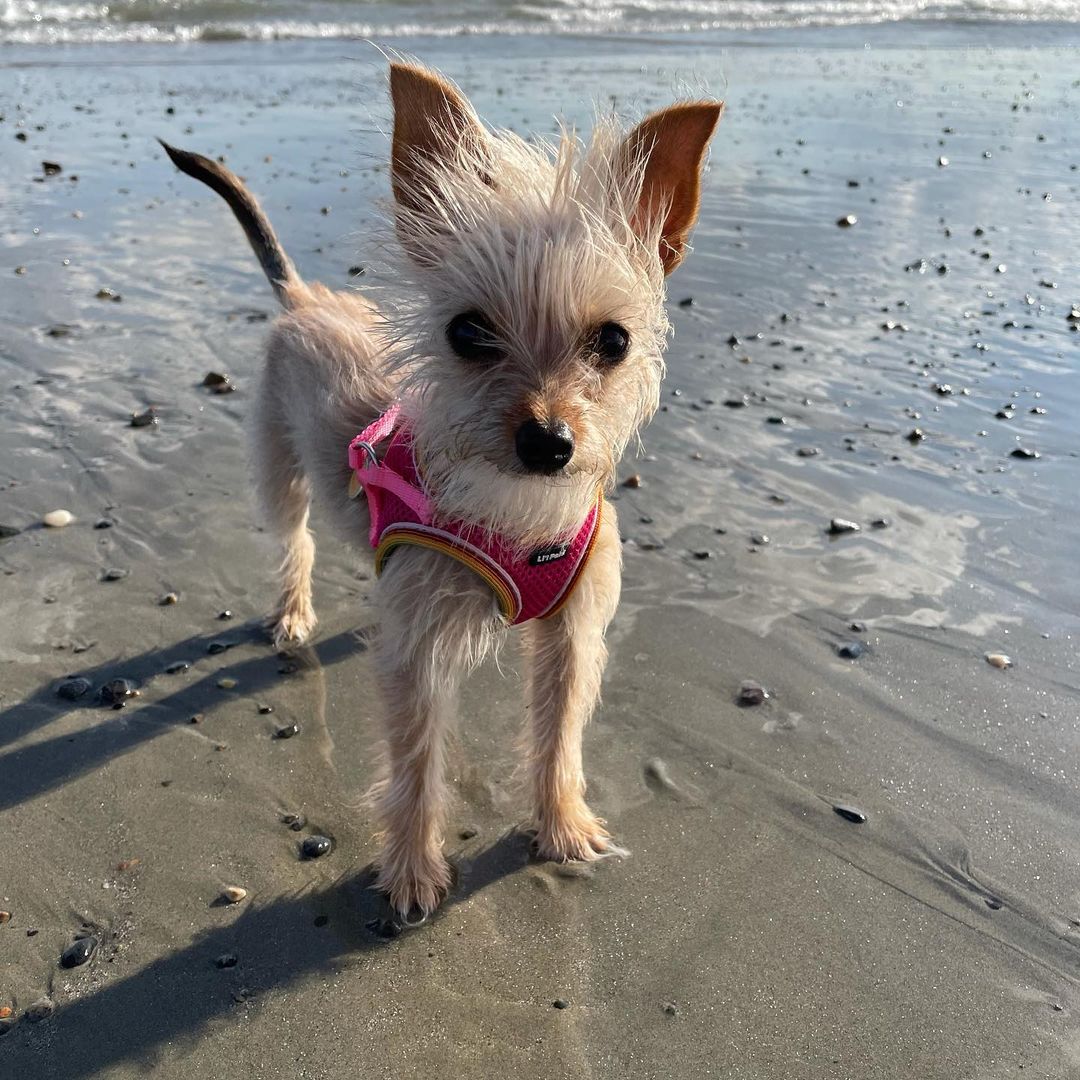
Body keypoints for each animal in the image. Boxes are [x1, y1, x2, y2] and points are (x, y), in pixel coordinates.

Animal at [162, 61, 725, 920]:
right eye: (467, 333)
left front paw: (560, 826)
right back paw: (293, 612)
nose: (548, 441)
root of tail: (306, 297)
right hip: (279, 470)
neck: (519, 517)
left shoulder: (570, 638)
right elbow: (416, 763)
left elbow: (558, 736)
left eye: (613, 340)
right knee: (294, 543)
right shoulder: (417, 655)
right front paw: (412, 870)